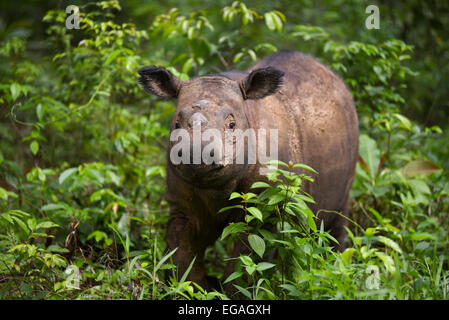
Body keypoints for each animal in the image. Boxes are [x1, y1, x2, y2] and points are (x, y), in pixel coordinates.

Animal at [138, 50, 358, 292]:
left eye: (232, 125)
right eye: (176, 124)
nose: (197, 154)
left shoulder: (266, 207)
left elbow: (248, 264)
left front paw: (233, 292)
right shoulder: (182, 204)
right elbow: (181, 255)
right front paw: (195, 289)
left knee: (336, 216)